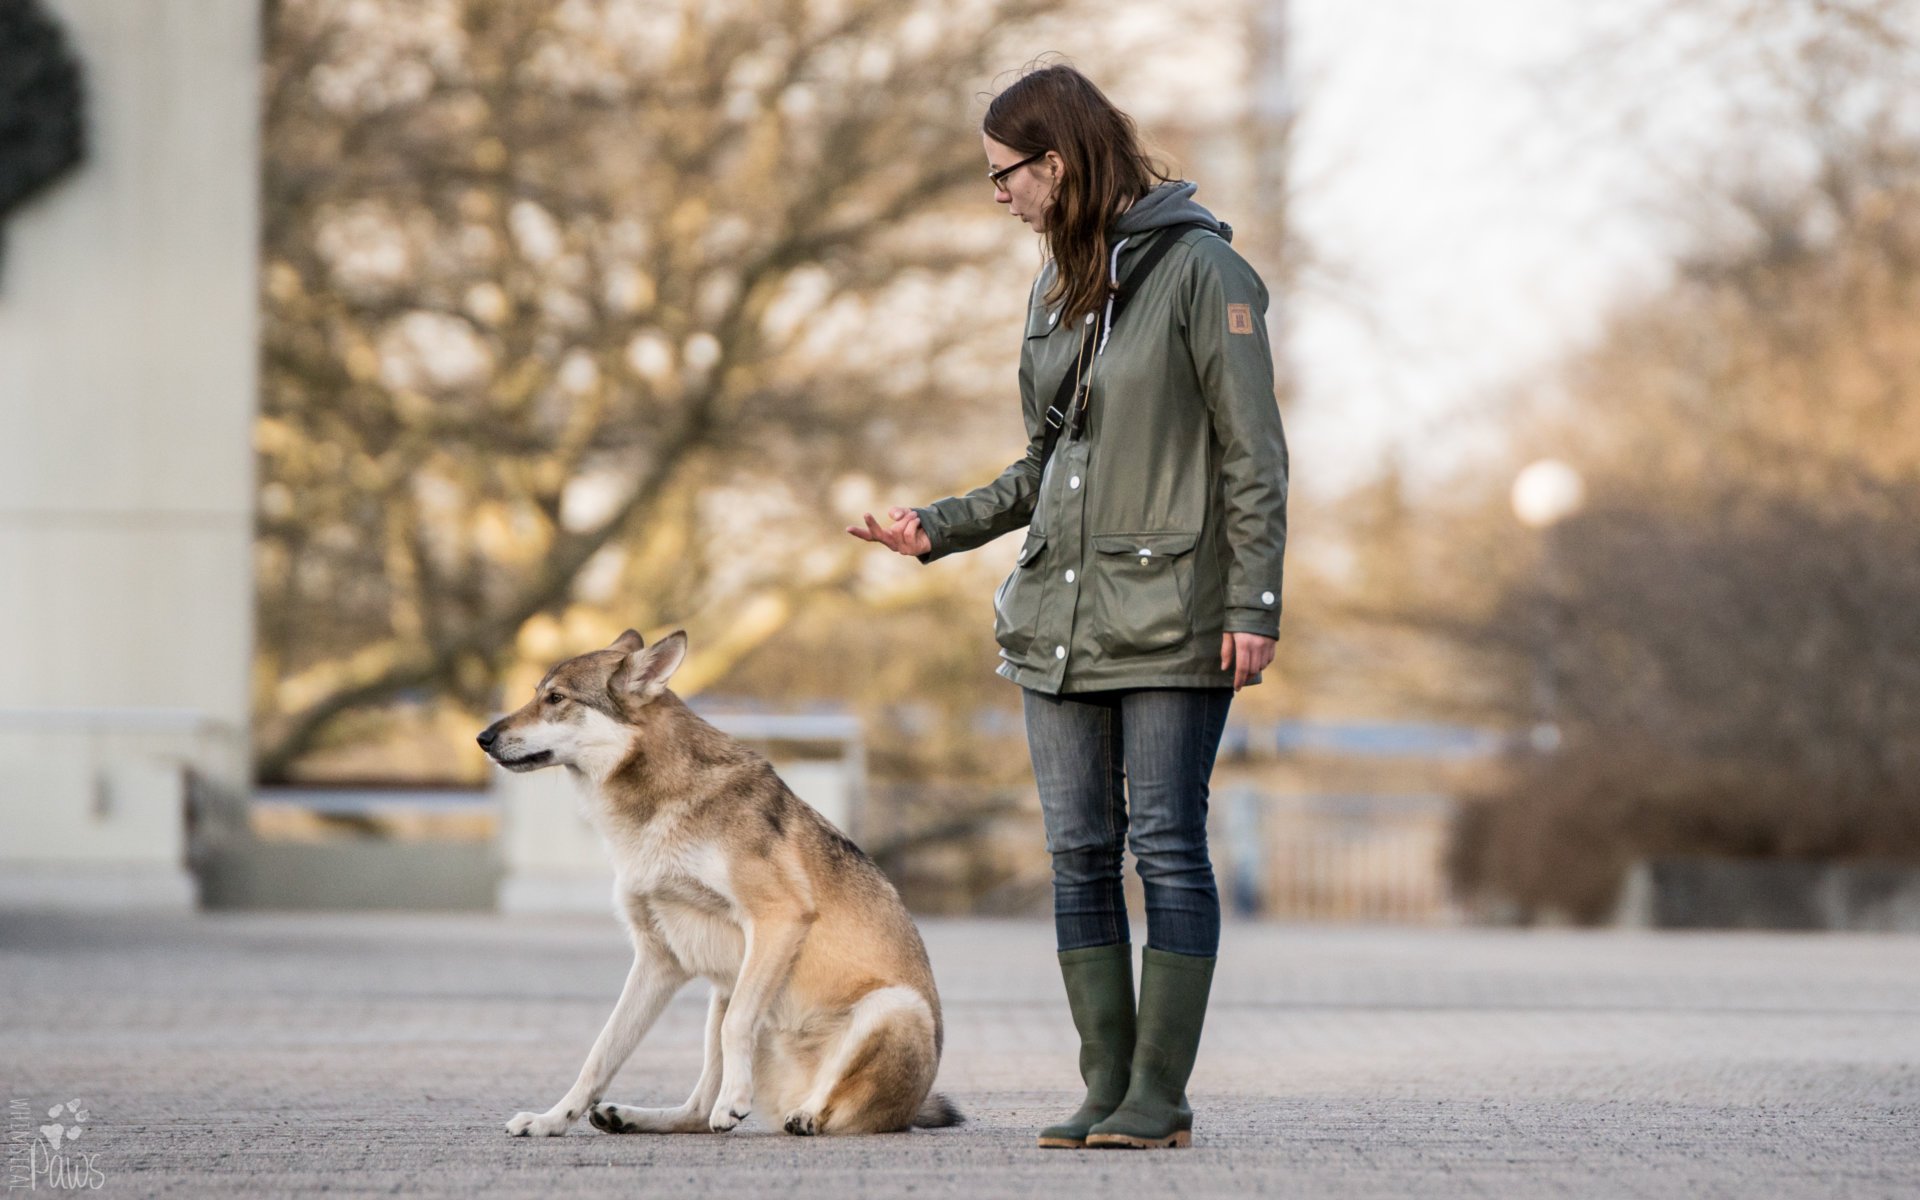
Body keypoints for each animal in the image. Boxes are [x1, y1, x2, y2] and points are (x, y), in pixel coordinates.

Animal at [480, 622, 960, 1136]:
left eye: (555, 698)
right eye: (536, 694)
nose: (482, 737)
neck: (650, 814)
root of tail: (914, 1108)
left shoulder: (778, 918)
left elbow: (737, 1031)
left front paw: (734, 1100)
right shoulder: (659, 958)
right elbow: (600, 1054)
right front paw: (550, 1120)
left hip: (890, 1005)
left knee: (832, 1109)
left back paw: (803, 1115)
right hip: (724, 989)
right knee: (692, 1111)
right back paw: (627, 1116)